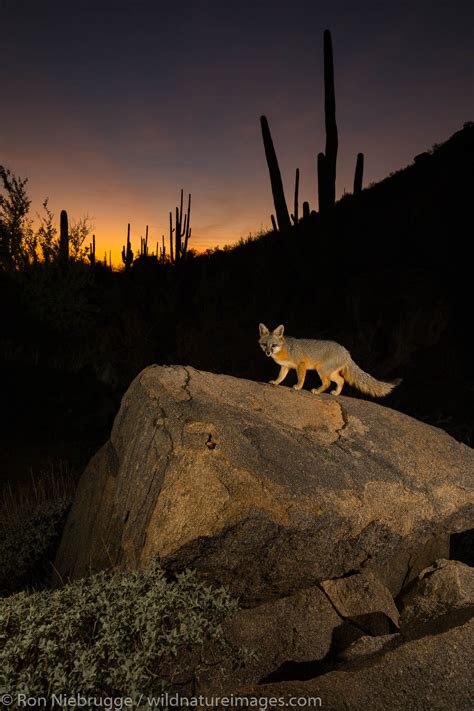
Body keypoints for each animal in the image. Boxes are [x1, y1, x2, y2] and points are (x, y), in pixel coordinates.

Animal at [260, 326, 400, 398]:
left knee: (327, 383)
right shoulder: (285, 367)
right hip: (330, 373)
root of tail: (346, 352)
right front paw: (275, 382)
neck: (284, 348)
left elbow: (301, 378)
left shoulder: (301, 364)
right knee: (341, 380)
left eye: (273, 345)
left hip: (321, 371)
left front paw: (298, 387)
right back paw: (336, 393)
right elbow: (281, 377)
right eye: (264, 345)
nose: (268, 353)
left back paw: (317, 391)